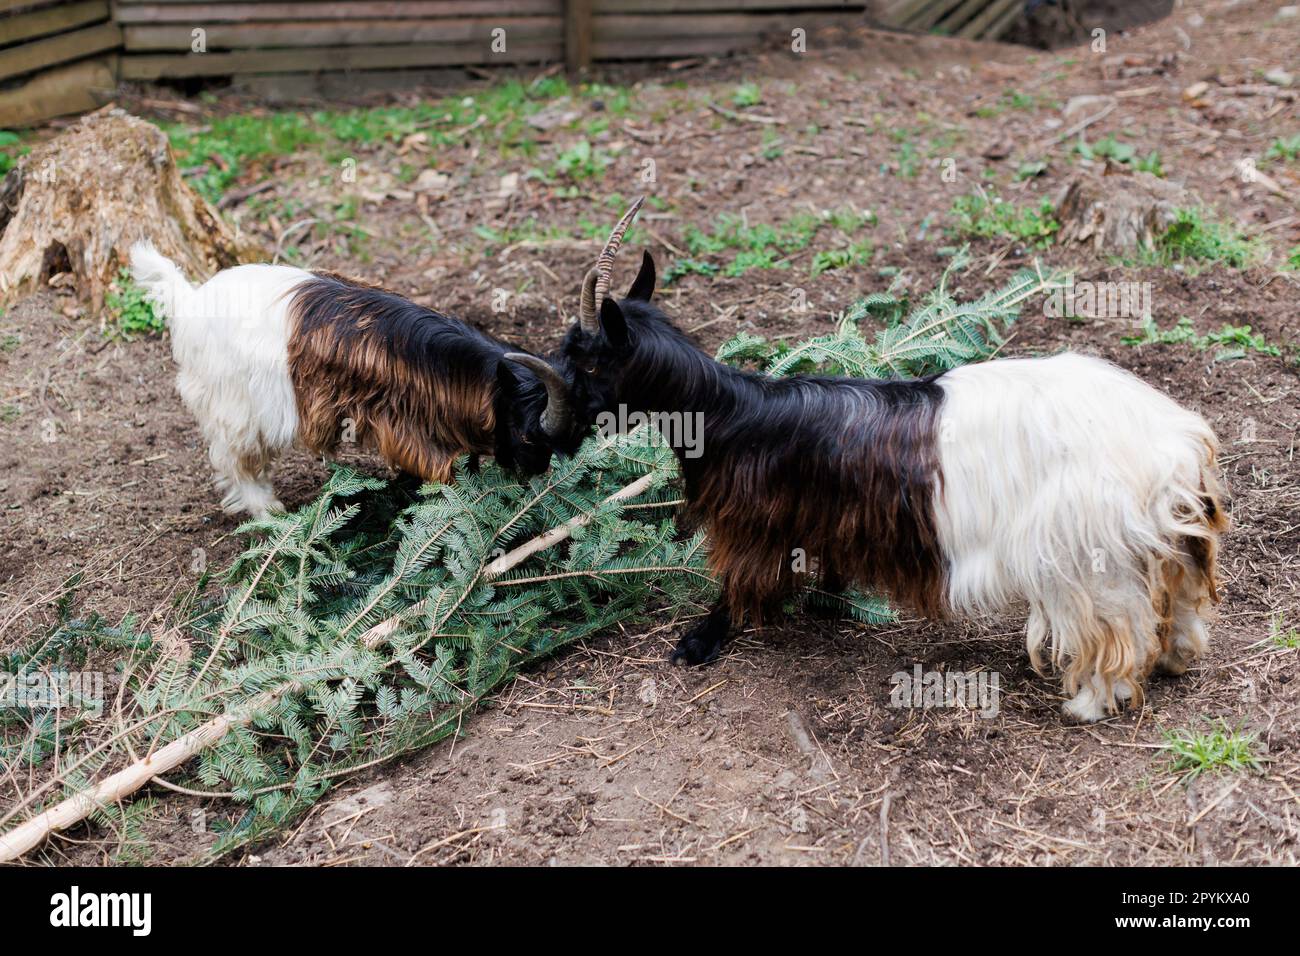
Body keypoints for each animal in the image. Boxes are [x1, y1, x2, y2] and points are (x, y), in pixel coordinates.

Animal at [126, 244, 585, 515]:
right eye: (528, 436)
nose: (536, 477)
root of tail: (189, 303)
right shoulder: (409, 432)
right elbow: (441, 473)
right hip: (235, 406)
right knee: (237, 461)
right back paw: (269, 514)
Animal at [559, 205, 1227, 723]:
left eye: (589, 361)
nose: (551, 423)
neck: (729, 412)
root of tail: (1172, 440)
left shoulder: (757, 523)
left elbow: (740, 581)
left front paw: (698, 642)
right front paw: (827, 601)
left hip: (1085, 550)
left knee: (1118, 625)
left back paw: (1091, 701)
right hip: (1154, 536)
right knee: (1179, 596)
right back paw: (1177, 658)